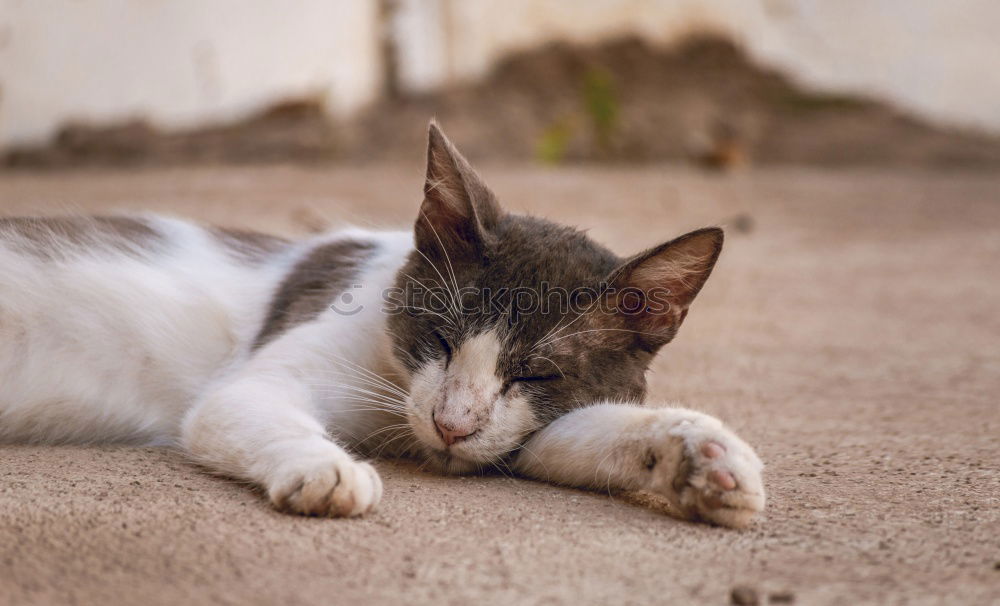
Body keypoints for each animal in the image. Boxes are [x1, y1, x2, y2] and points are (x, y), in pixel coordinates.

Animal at [1, 126, 764, 528]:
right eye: (439, 337)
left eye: (534, 373)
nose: (451, 425)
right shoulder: (265, 371)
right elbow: (244, 406)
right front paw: (323, 467)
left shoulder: (519, 430)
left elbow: (572, 436)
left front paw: (703, 457)